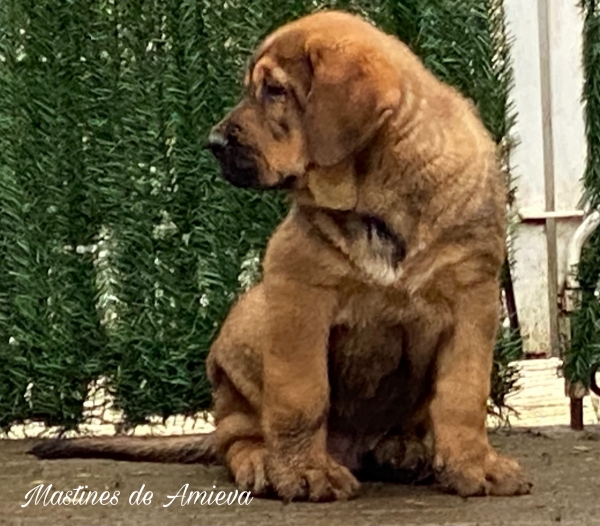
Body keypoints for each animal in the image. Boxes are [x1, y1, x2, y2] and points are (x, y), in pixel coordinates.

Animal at [30, 8, 532, 504]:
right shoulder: (297, 289)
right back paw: (261, 461)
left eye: (274, 90)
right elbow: (301, 395)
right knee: (236, 436)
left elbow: (462, 395)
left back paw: (405, 449)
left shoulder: (472, 298)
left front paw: (475, 466)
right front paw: (304, 472)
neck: (376, 197)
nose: (213, 142)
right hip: (251, 320)